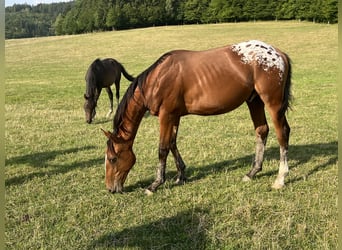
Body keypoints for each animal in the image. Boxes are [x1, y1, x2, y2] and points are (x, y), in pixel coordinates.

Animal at [101, 40, 292, 193]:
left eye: (112, 159)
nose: (110, 188)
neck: (157, 80)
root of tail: (278, 53)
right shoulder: (174, 116)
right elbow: (172, 143)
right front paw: (181, 175)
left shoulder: (166, 116)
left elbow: (162, 148)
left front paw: (155, 184)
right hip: (254, 101)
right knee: (262, 131)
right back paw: (252, 173)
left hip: (273, 104)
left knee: (282, 133)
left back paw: (280, 179)